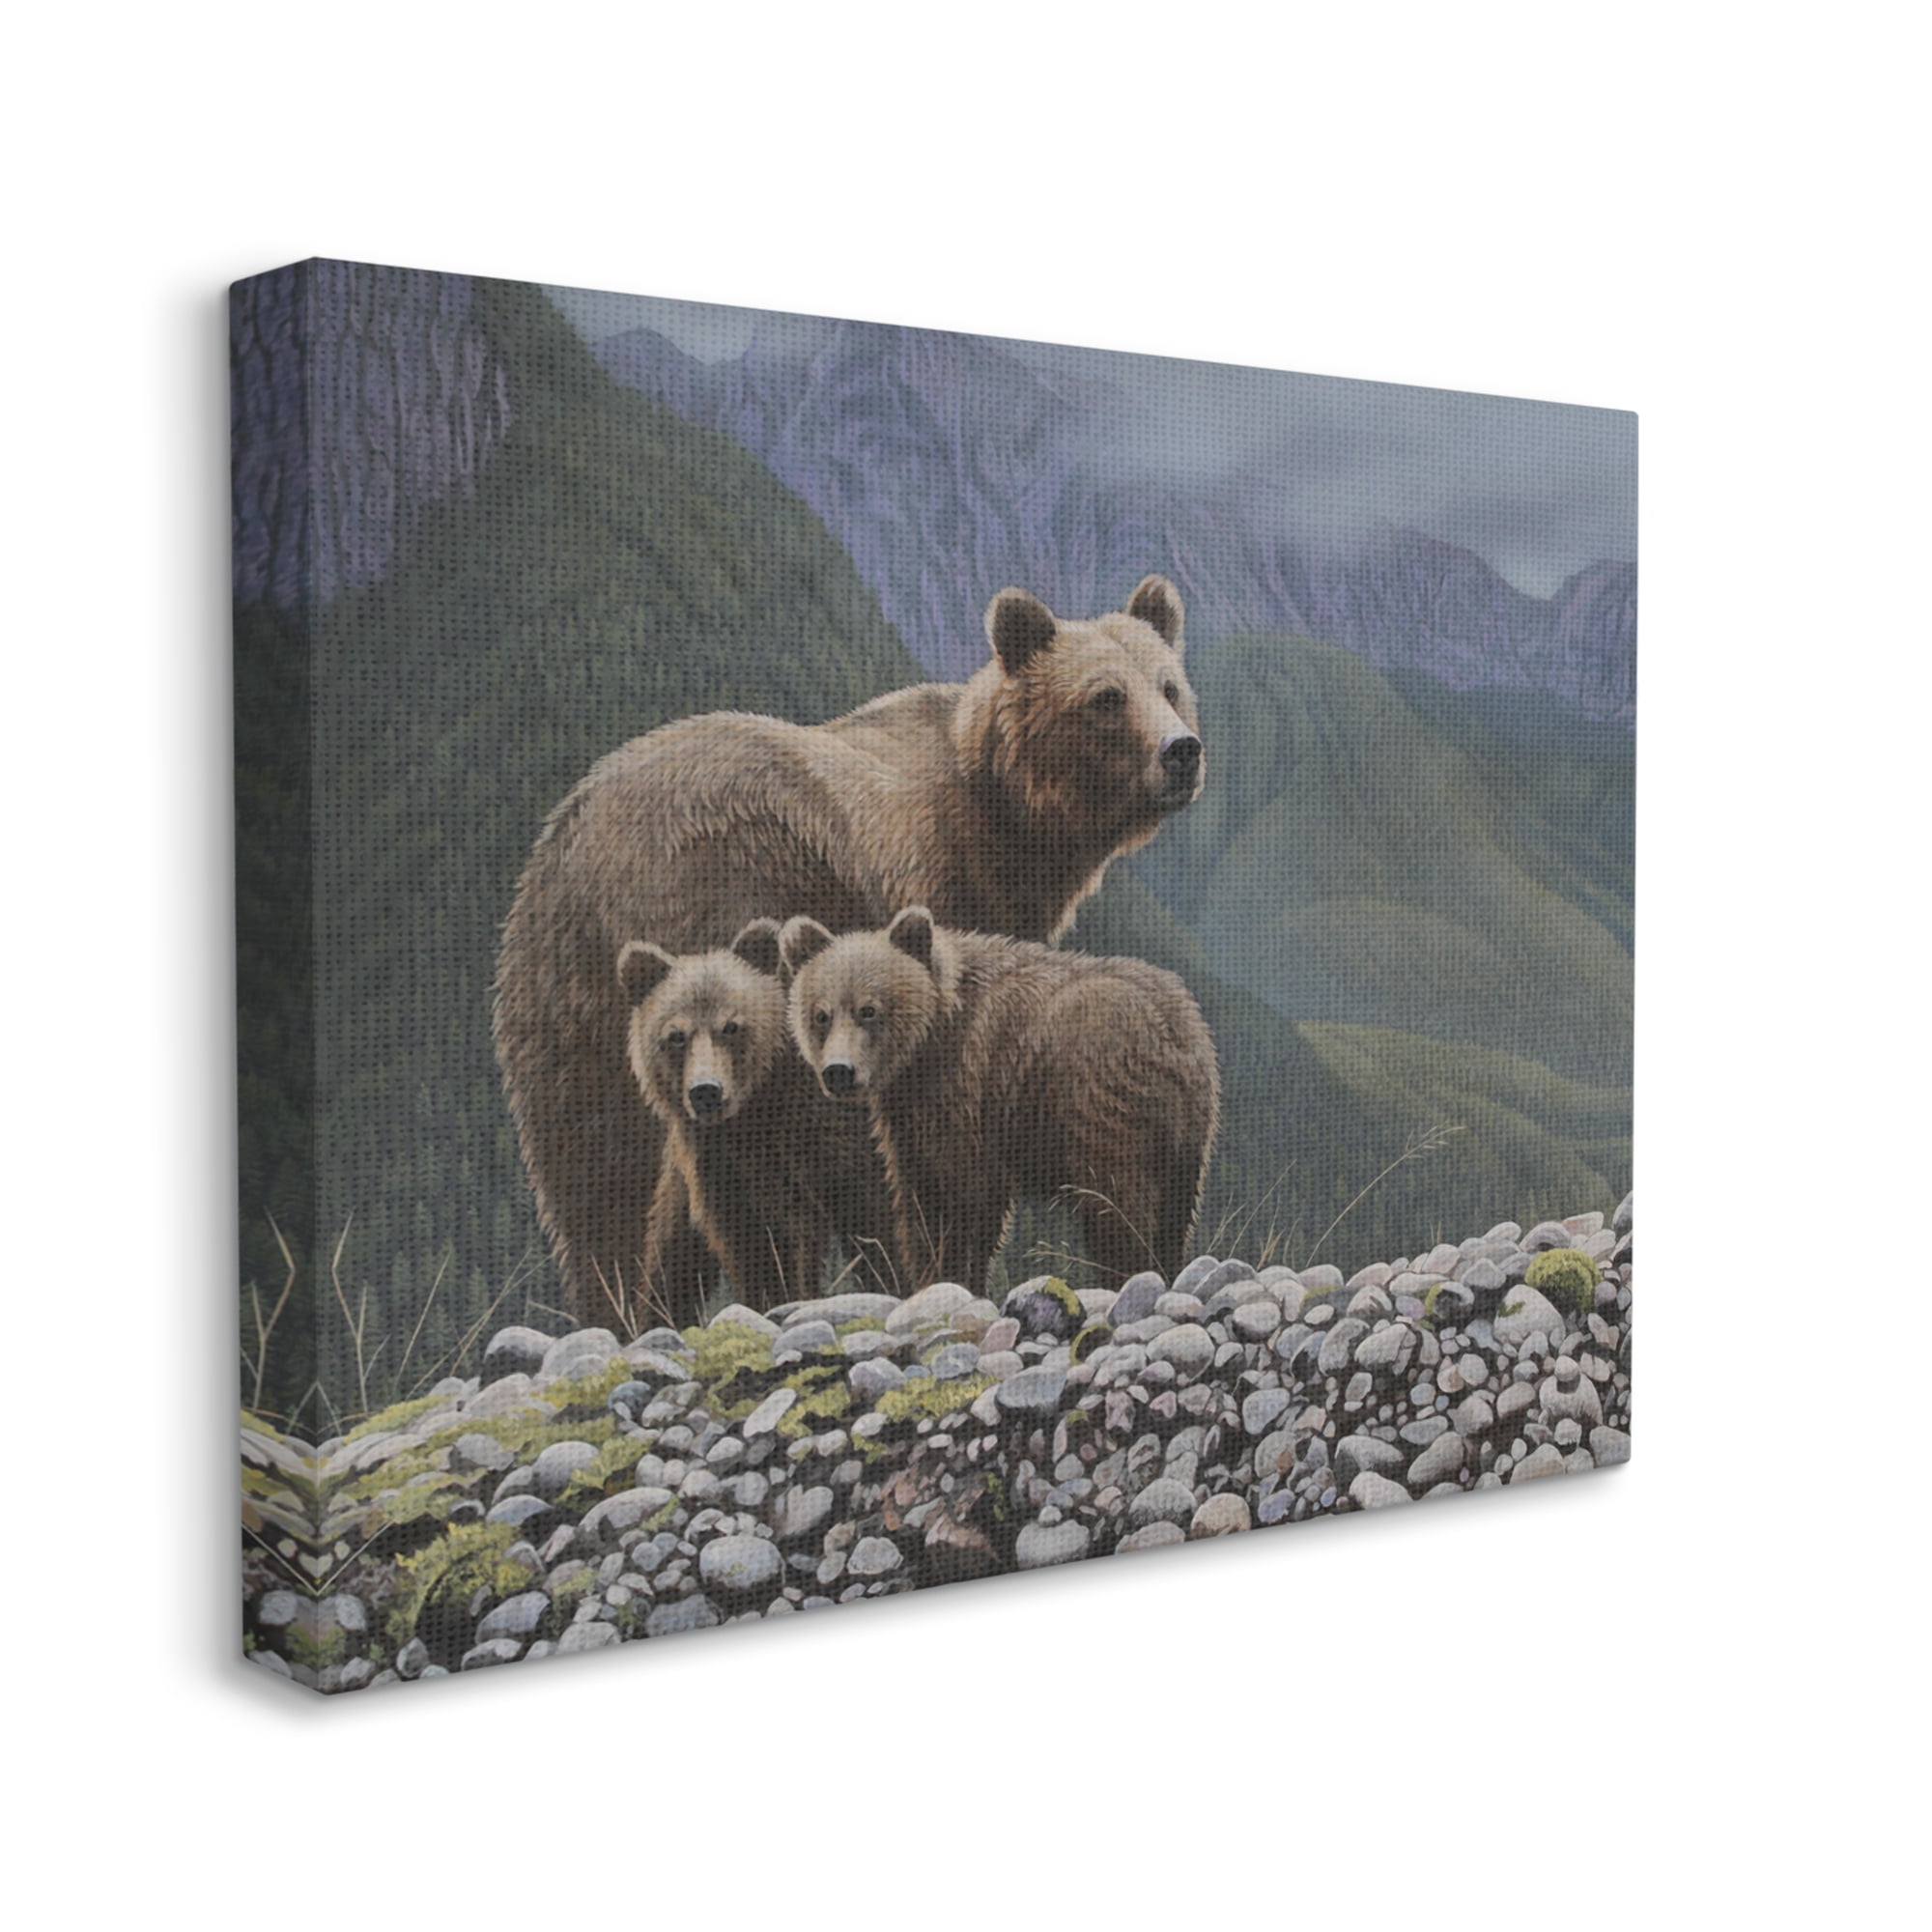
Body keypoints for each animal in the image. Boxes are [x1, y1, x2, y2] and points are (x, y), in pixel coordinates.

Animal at [617, 919, 897, 1327]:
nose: (706, 1091)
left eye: (731, 1026)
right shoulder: (723, 1169)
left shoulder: (831, 1148)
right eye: (676, 1035)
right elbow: (755, 1246)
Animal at [780, 905, 1219, 1299]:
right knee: (1173, 1213)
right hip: (1185, 1136)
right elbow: (921, 1194)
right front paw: (931, 1275)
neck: (927, 1044)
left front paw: (955, 1276)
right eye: (820, 1014)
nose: (839, 1071)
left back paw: (1125, 1275)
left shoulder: (967, 1089)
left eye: (869, 1010)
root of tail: (1168, 1028)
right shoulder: (910, 1117)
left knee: (1116, 1204)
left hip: (1099, 1102)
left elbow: (963, 1193)